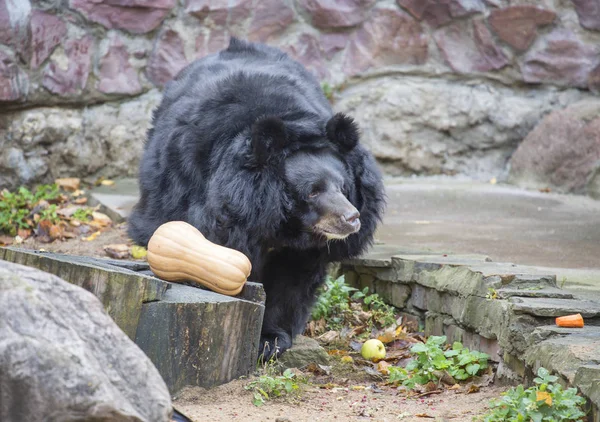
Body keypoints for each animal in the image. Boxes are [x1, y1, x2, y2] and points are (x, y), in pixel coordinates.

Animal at [129, 38, 386, 360]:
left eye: (343, 186)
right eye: (312, 191)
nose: (352, 218)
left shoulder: (305, 248)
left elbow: (293, 283)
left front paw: (272, 338)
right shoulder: (223, 212)